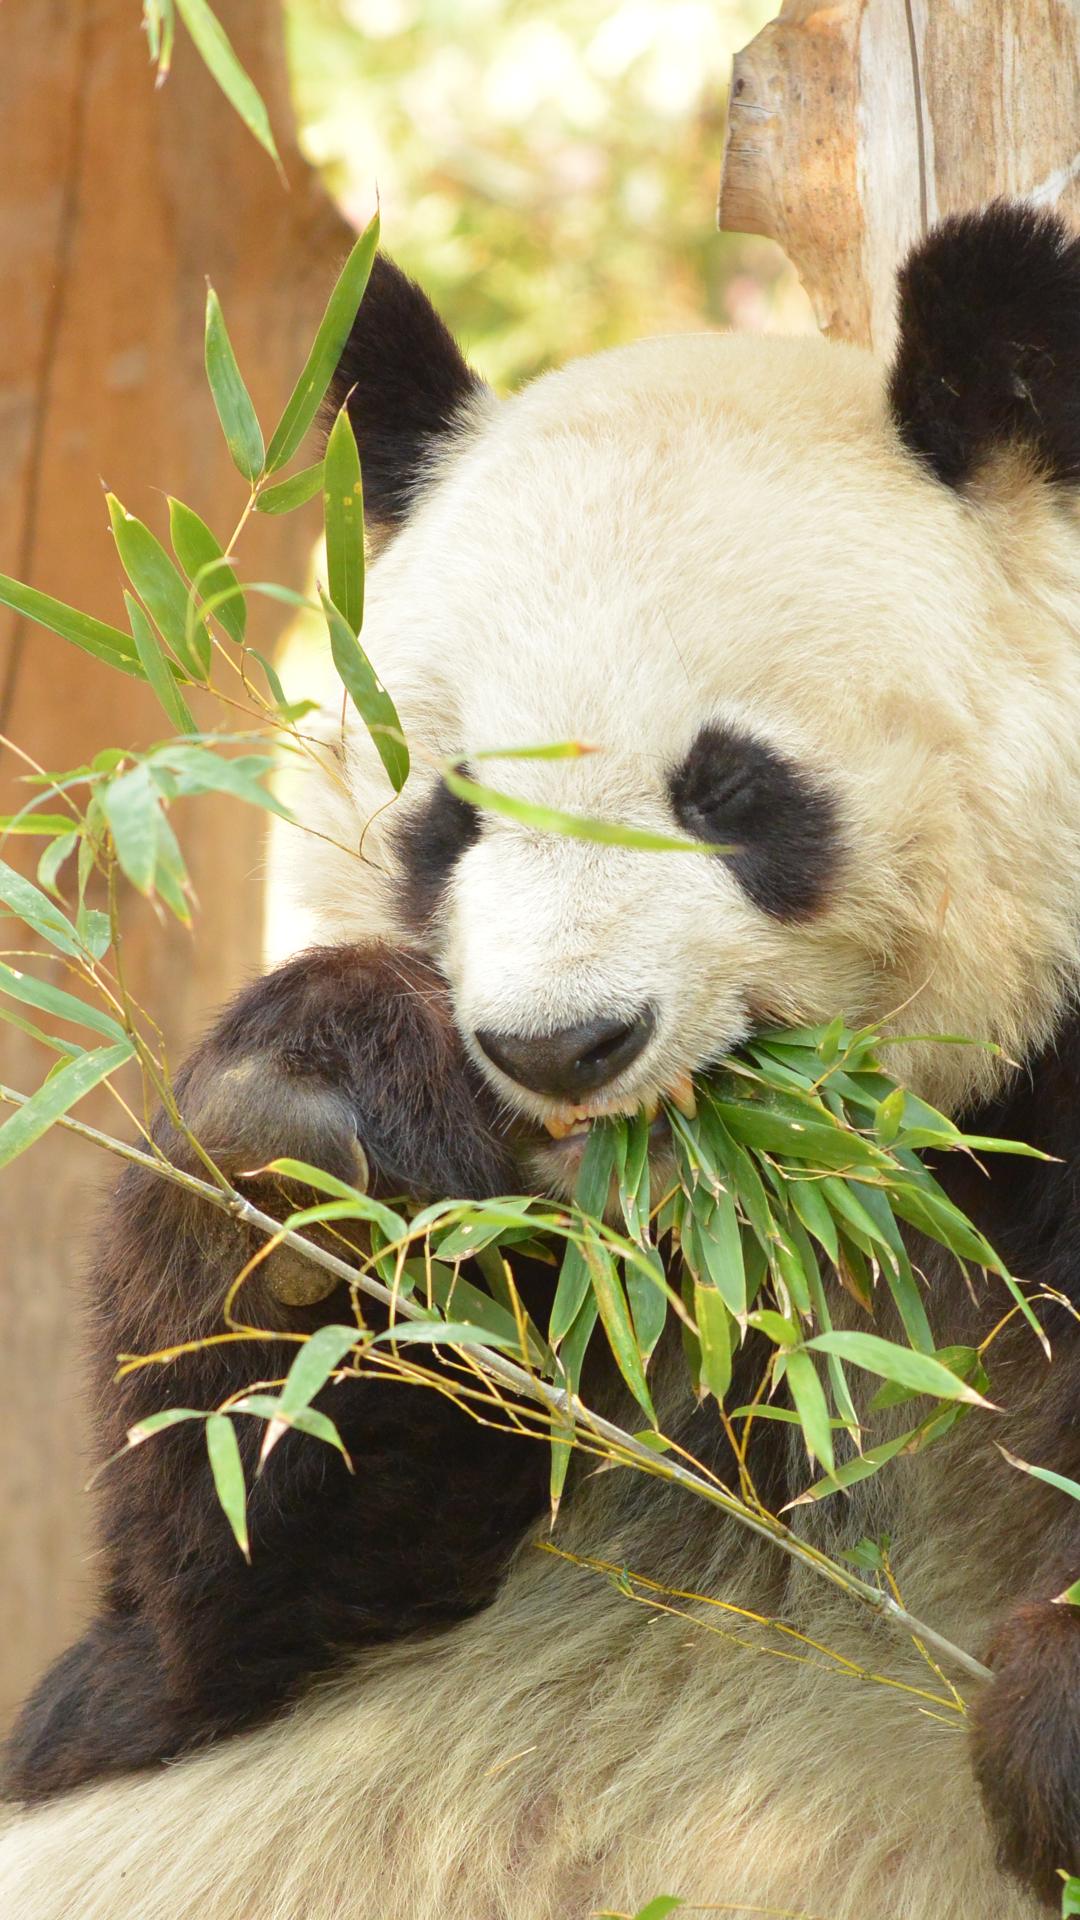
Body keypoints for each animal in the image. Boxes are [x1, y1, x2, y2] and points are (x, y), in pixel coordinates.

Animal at [0, 202, 1076, 1912]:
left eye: (727, 790)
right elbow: (193, 1619)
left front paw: (1048, 1721)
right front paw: (315, 1139)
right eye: (449, 809)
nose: (563, 1046)